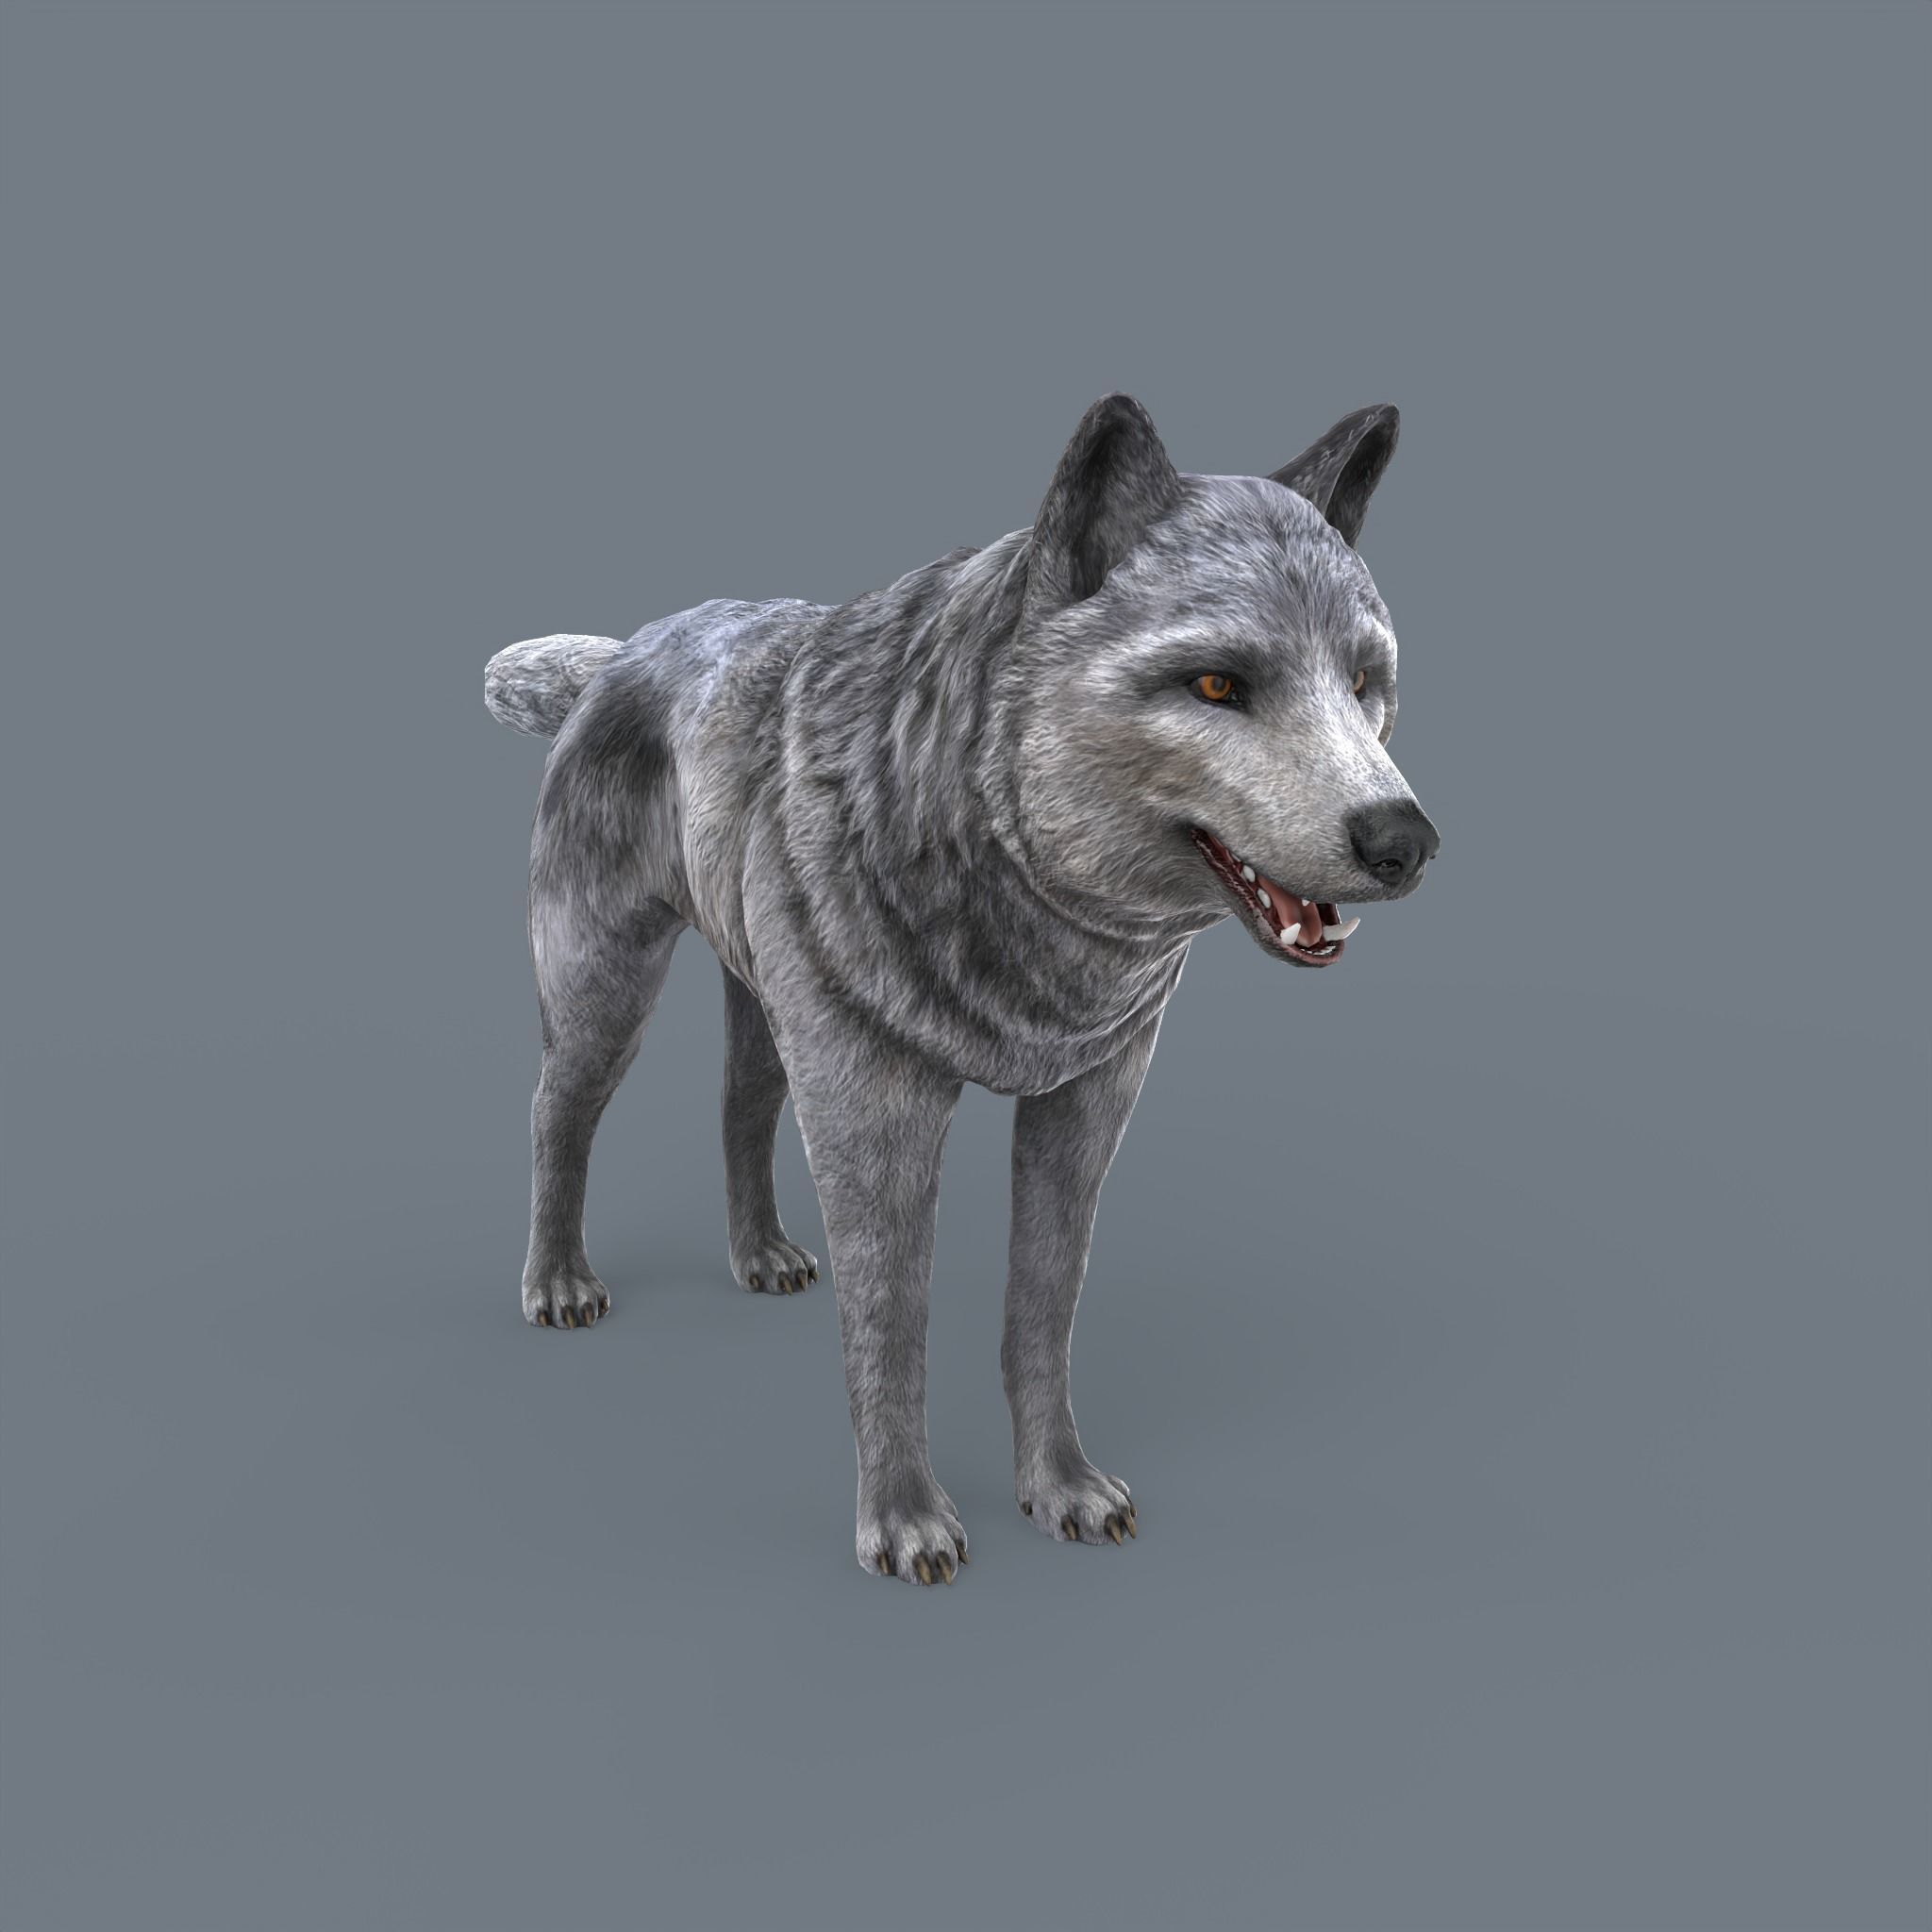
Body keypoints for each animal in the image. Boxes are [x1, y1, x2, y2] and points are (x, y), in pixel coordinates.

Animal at [484, 394, 1440, 1585]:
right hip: (605, 994)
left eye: (1360, 682)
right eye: (1218, 683)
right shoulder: (875, 1106)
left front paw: (1062, 1487)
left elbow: (1042, 1306)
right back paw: (557, 1282)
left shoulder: (1088, 1100)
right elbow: (891, 1320)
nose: (1405, 840)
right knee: (555, 1114)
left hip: (763, 1007)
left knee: (739, 1107)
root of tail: (624, 651)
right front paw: (903, 1522)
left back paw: (760, 1256)